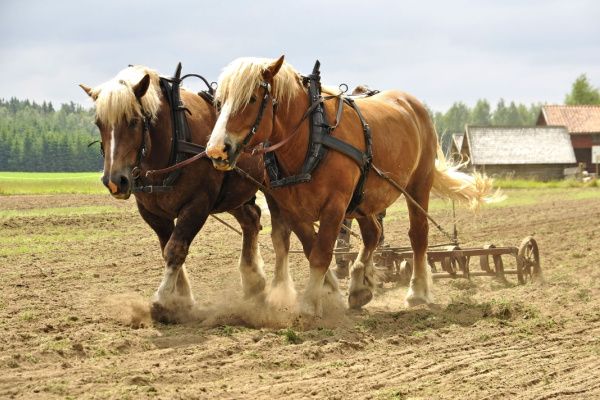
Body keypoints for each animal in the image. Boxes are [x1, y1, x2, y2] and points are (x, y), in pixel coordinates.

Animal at [80, 65, 268, 322]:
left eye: (133, 121)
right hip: (235, 194)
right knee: (251, 219)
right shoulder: (153, 213)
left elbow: (175, 249)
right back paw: (254, 282)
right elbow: (167, 248)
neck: (173, 139)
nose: (115, 181)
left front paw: (161, 301)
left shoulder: (197, 205)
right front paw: (182, 300)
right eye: (100, 123)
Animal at [206, 56, 496, 318]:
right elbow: (312, 248)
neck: (312, 138)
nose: (216, 150)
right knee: (373, 234)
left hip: (417, 185)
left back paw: (417, 291)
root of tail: (412, 103)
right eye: (219, 102)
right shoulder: (293, 209)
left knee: (418, 235)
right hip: (364, 199)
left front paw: (309, 305)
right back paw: (359, 288)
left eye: (252, 100)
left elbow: (321, 253)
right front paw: (329, 294)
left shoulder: (335, 205)